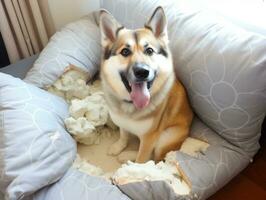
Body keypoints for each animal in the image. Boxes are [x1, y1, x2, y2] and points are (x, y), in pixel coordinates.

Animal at [98, 6, 192, 162]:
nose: (142, 71)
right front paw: (119, 146)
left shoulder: (150, 137)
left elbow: (142, 159)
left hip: (166, 137)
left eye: (149, 50)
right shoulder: (122, 123)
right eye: (125, 51)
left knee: (154, 158)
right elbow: (123, 135)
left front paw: (134, 166)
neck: (131, 106)